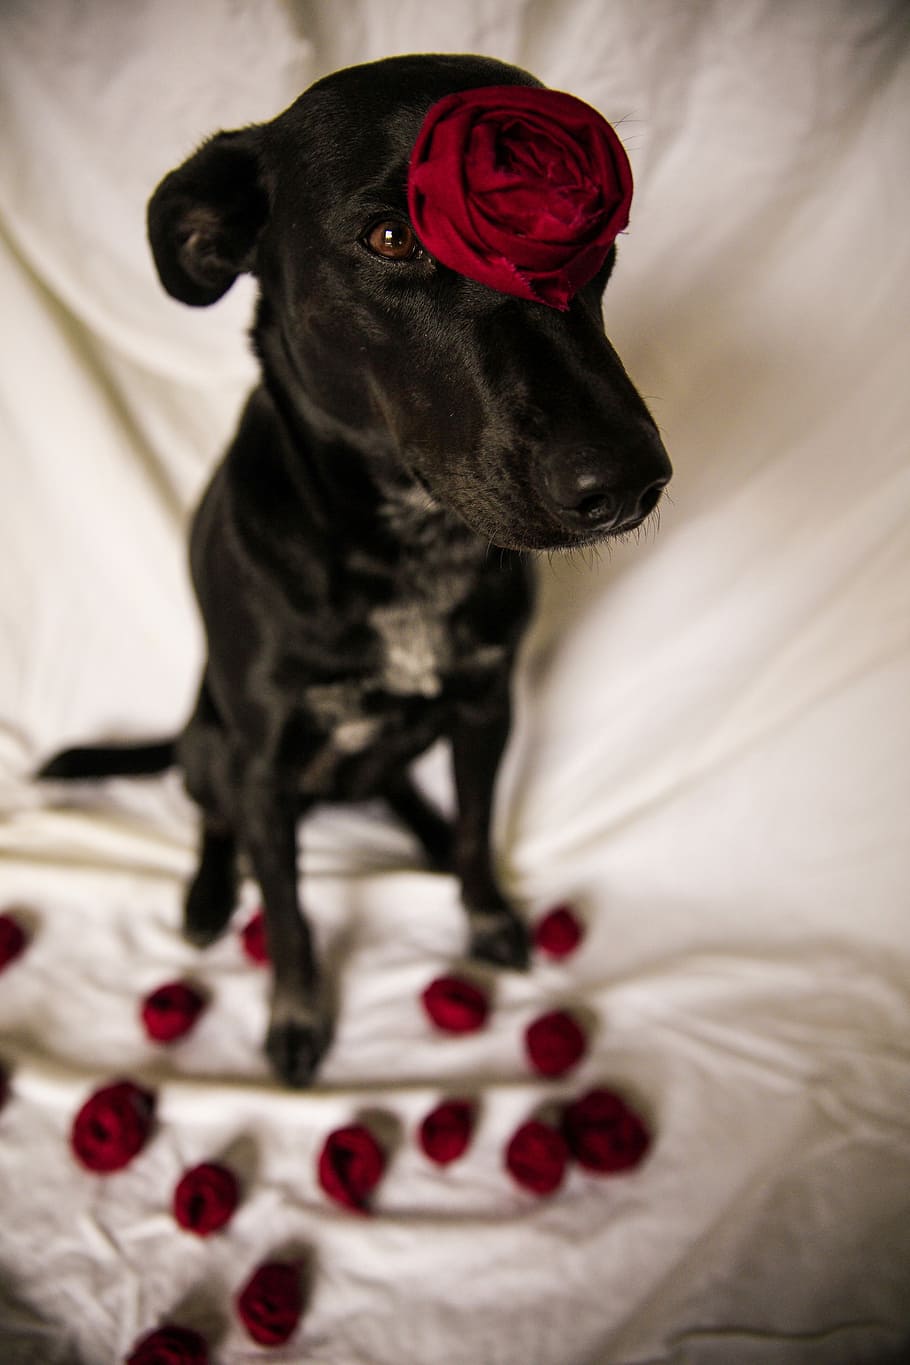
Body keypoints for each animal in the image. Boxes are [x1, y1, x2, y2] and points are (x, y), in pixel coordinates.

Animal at [40, 53, 668, 1086]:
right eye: (389, 237)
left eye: (593, 239)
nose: (628, 481)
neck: (407, 543)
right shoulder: (262, 761)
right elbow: (288, 912)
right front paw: (296, 1016)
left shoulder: (486, 705)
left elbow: (479, 829)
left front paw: (482, 909)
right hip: (211, 739)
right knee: (211, 816)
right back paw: (208, 893)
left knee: (401, 786)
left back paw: (420, 832)